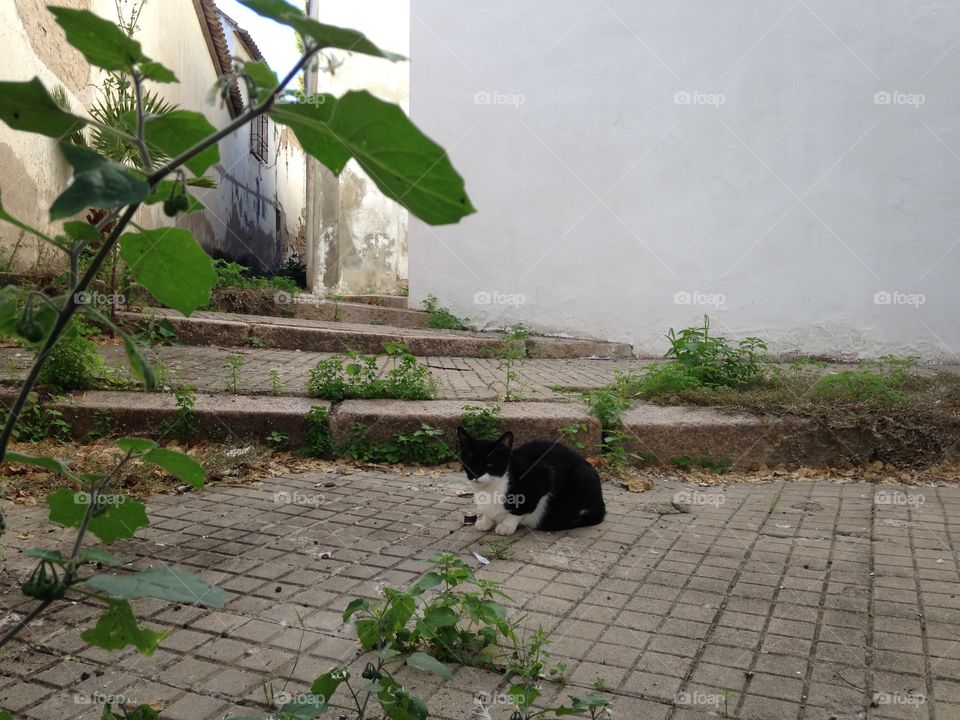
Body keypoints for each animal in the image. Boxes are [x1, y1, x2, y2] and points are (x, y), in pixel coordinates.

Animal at [456, 428, 604, 536]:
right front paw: (486, 520)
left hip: (582, 474)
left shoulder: (544, 475)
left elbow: (521, 507)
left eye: (490, 464)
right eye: (470, 463)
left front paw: (507, 525)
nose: (476, 475)